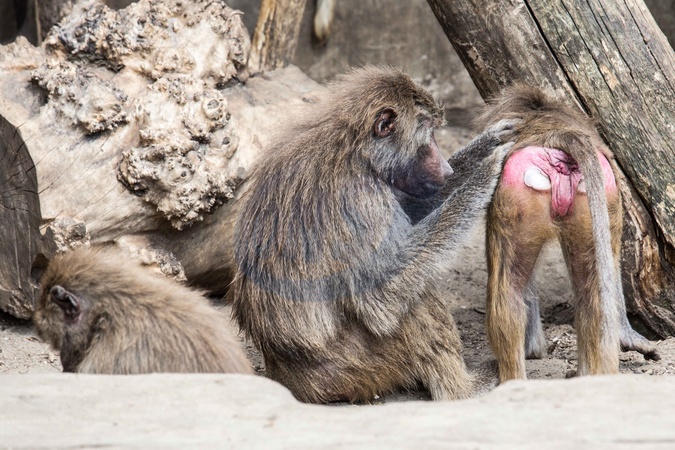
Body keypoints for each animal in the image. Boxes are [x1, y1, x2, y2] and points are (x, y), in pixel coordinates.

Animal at [229, 66, 515, 403]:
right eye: (429, 134)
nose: (446, 170)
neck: (354, 150)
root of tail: (287, 375)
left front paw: (487, 144)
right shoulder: (360, 200)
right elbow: (381, 297)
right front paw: (487, 170)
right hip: (354, 365)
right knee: (411, 296)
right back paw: (463, 390)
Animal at [472, 85, 659, 383]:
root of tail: (558, 134)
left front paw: (533, 349)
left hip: (514, 194)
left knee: (508, 291)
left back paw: (513, 380)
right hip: (602, 196)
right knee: (591, 294)